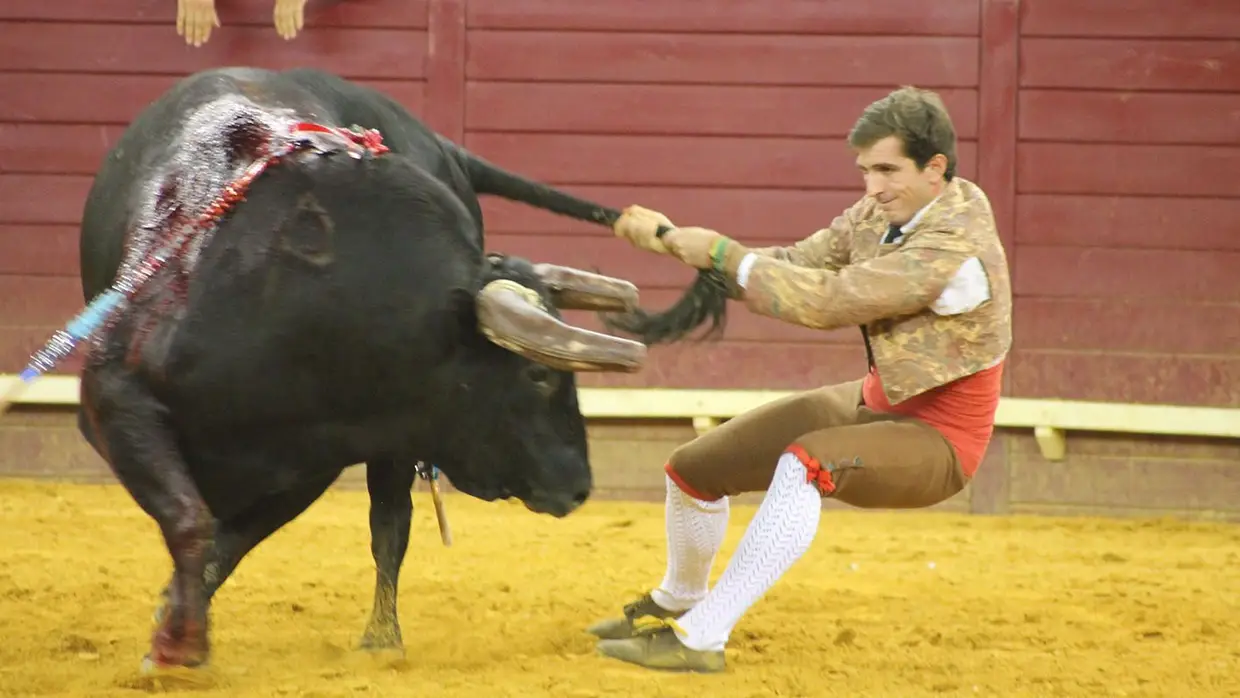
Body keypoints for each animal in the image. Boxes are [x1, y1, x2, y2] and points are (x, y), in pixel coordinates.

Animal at [31, 68, 699, 674]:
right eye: (540, 376)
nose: (581, 485)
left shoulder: (317, 454)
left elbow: (236, 537)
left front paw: (177, 626)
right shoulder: (117, 402)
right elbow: (193, 520)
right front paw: (177, 639)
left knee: (390, 522)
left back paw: (382, 638)